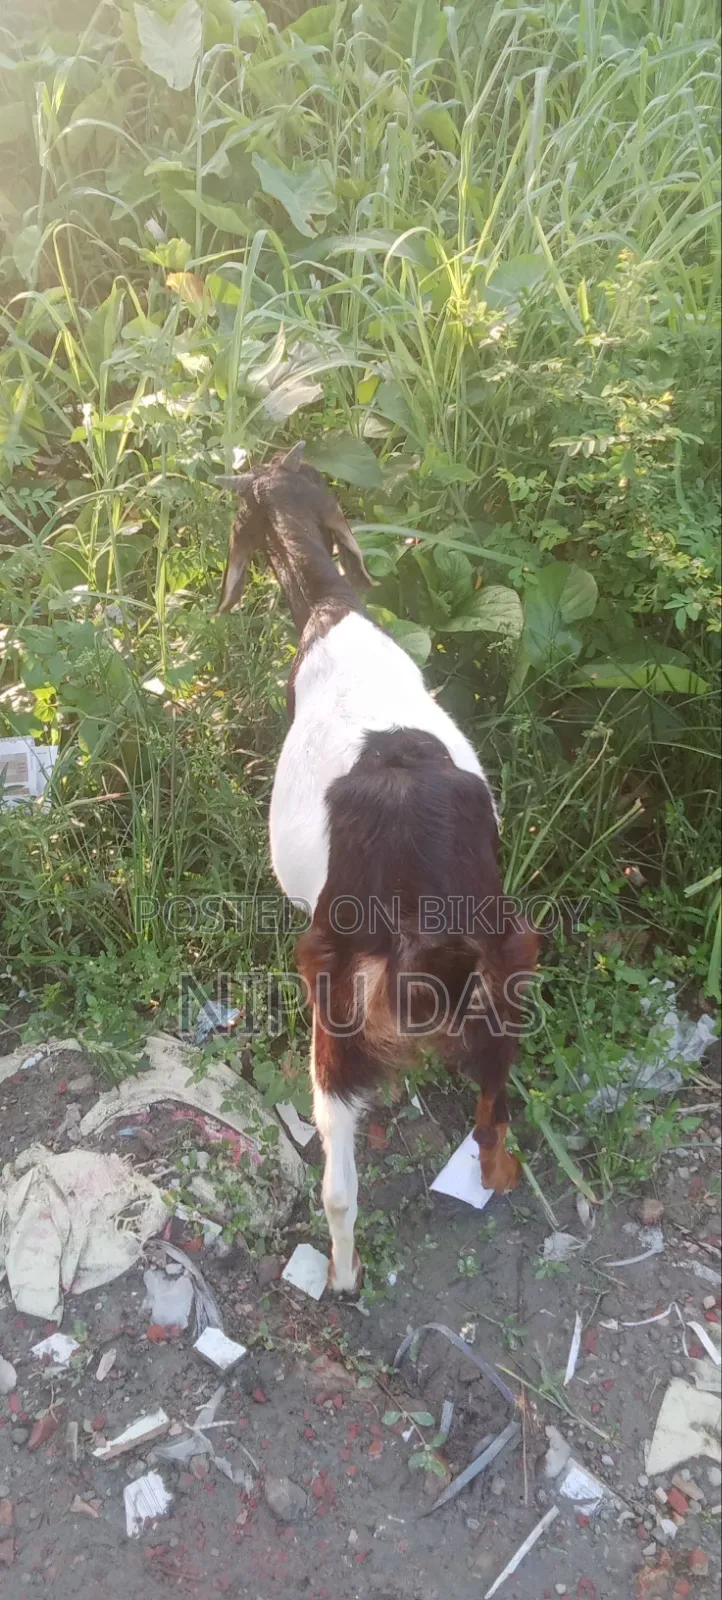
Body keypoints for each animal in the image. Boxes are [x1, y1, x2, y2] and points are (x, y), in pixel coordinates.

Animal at [217, 443, 537, 1293]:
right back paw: (497, 1175)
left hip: (331, 1005)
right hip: (508, 972)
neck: (331, 611)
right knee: (493, 1113)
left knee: (339, 1184)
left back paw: (343, 1275)